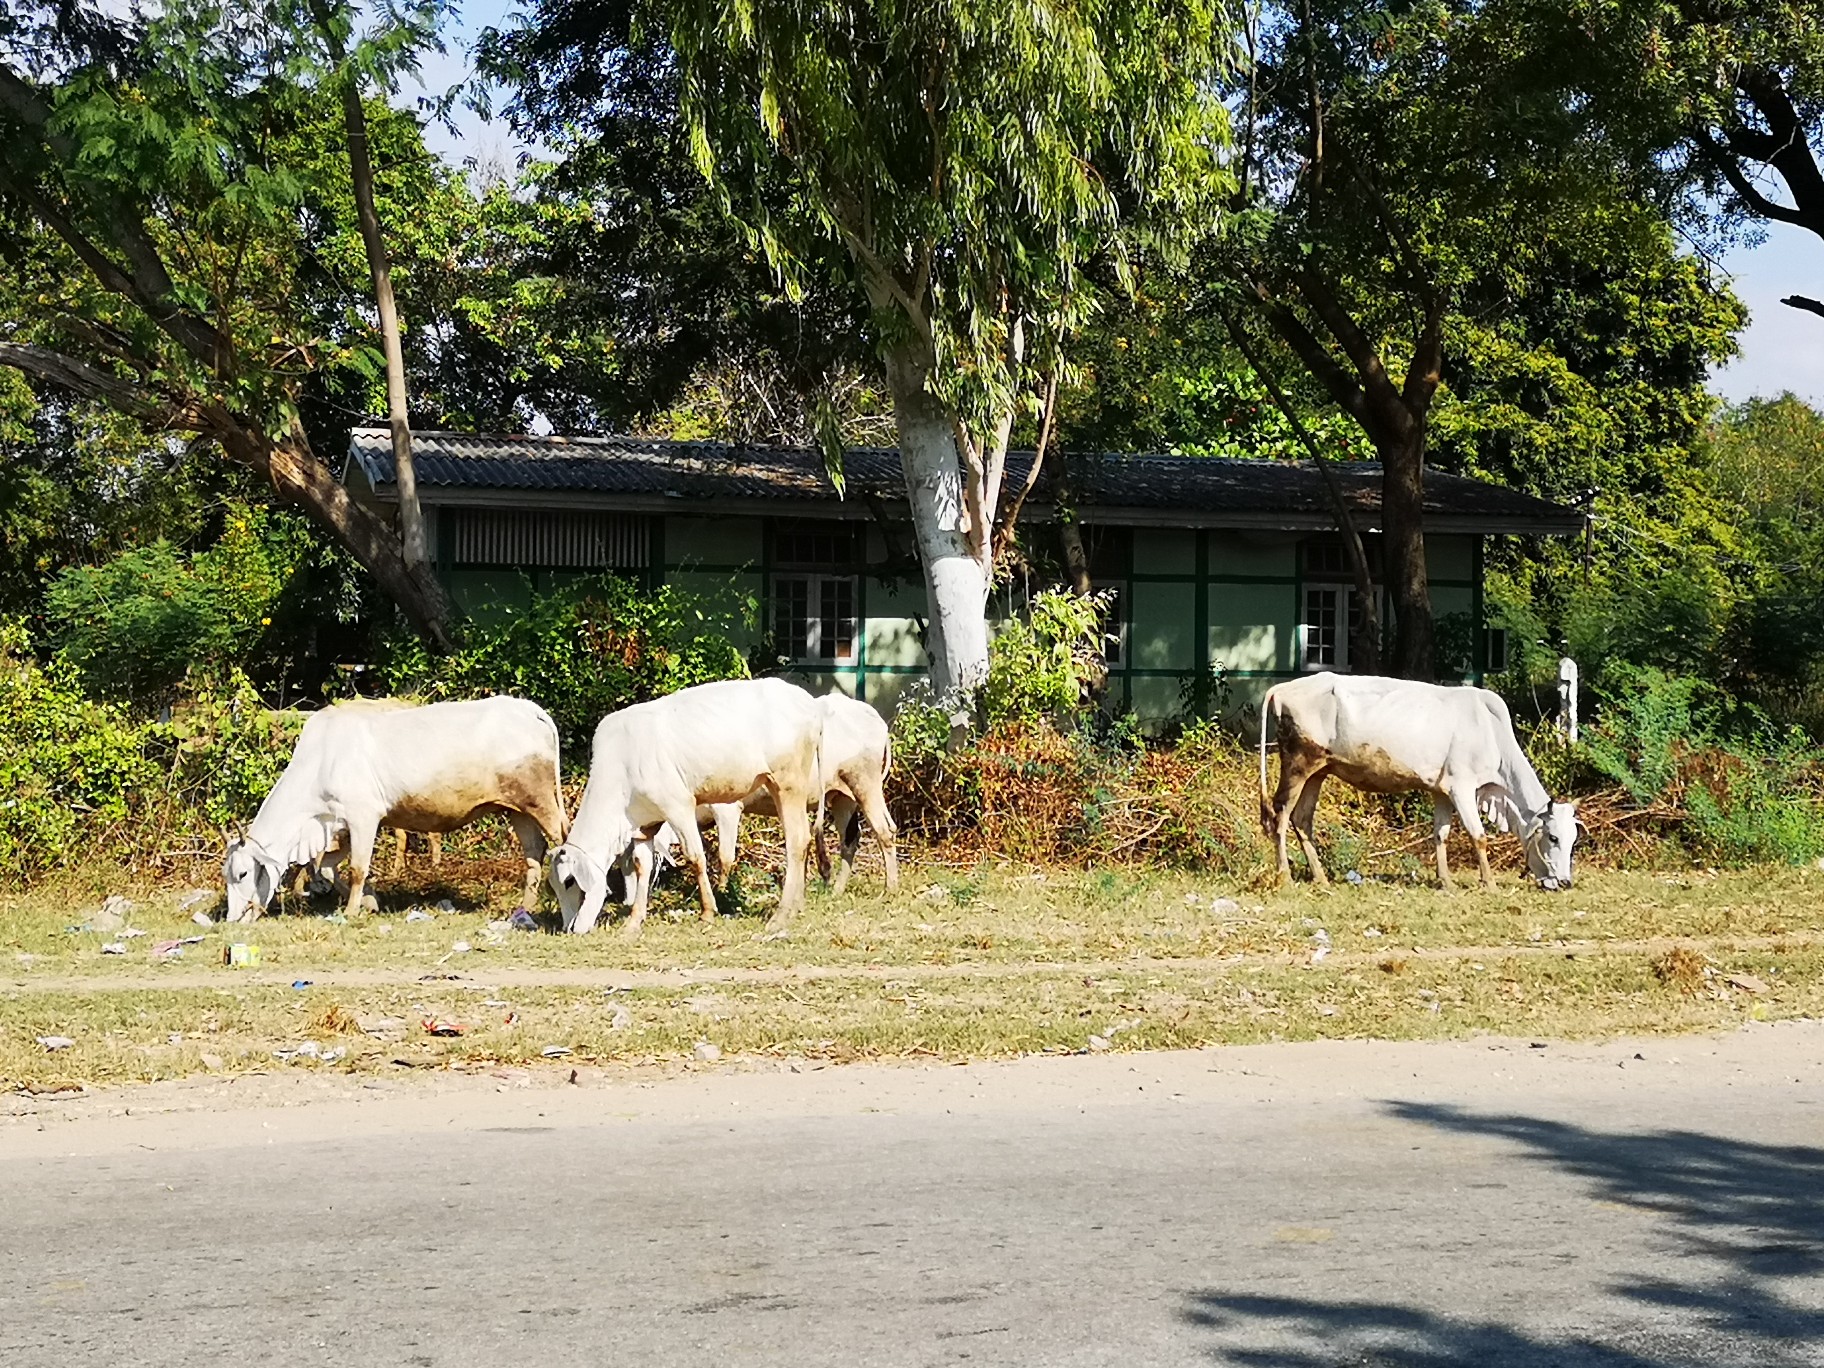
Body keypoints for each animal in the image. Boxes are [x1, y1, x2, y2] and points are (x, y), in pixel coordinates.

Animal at [222, 707, 561, 922]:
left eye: (242, 873)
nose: (233, 918)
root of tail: (531, 710)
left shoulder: (363, 816)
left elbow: (358, 868)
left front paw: (352, 911)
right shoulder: (340, 823)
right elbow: (328, 867)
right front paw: (370, 902)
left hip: (541, 800)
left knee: (559, 842)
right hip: (516, 808)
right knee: (535, 852)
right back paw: (524, 908)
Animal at [547, 678, 820, 941]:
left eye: (569, 881)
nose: (570, 928)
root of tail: (808, 703)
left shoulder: (678, 807)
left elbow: (695, 857)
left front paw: (708, 912)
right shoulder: (645, 825)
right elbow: (642, 866)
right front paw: (634, 921)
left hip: (788, 783)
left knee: (797, 841)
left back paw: (781, 915)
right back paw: (796, 906)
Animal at [631, 696, 901, 912]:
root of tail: (874, 717)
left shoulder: (727, 810)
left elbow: (724, 856)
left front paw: (722, 893)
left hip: (865, 784)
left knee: (885, 830)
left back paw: (890, 889)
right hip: (842, 797)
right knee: (849, 840)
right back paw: (837, 890)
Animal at [1262, 671, 1575, 890]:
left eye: (1574, 839)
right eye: (1553, 837)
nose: (1566, 882)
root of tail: (1281, 689)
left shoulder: (1442, 791)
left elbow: (1441, 833)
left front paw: (1445, 880)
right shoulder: (1462, 787)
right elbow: (1479, 836)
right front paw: (1489, 883)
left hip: (1318, 771)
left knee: (1302, 820)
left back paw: (1320, 877)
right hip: (1297, 764)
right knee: (1280, 815)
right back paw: (1285, 875)